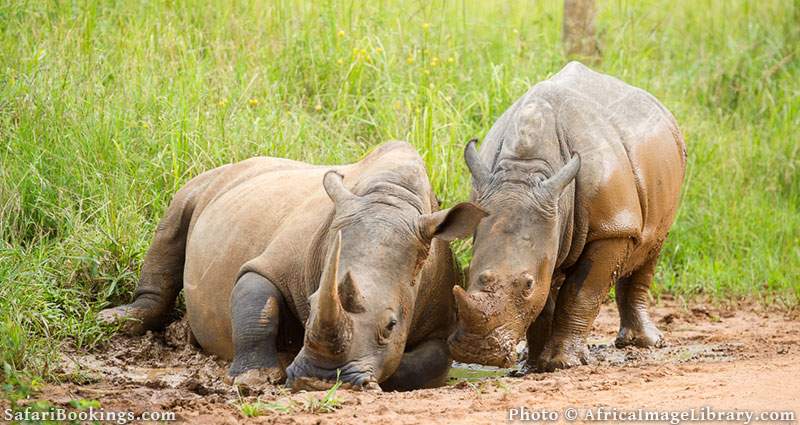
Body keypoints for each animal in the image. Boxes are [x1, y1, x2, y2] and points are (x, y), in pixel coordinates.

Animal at [100, 142, 488, 390]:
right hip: (205, 180)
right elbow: (258, 306)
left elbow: (431, 362)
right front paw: (252, 379)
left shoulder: (442, 315)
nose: (318, 380)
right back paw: (112, 321)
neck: (388, 199)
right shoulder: (272, 263)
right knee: (175, 217)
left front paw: (380, 376)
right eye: (313, 303)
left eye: (392, 325)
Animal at [450, 62, 688, 372]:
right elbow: (545, 294)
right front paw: (534, 366)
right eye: (468, 273)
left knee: (651, 246)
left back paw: (644, 343)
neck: (524, 174)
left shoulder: (612, 228)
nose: (475, 352)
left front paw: (561, 363)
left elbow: (581, 291)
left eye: (527, 284)